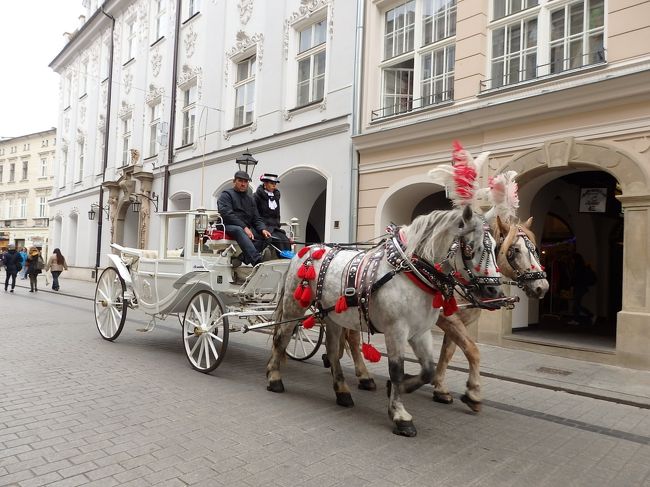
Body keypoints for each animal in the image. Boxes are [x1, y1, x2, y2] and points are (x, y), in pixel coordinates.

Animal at [266, 206, 504, 438]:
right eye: (471, 248)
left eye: (495, 248)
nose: (495, 291)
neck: (411, 273)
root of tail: (305, 251)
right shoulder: (395, 330)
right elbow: (396, 369)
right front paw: (400, 416)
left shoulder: (421, 331)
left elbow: (428, 370)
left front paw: (397, 389)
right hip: (294, 305)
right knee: (282, 338)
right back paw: (274, 378)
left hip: (333, 316)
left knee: (333, 352)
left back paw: (343, 392)